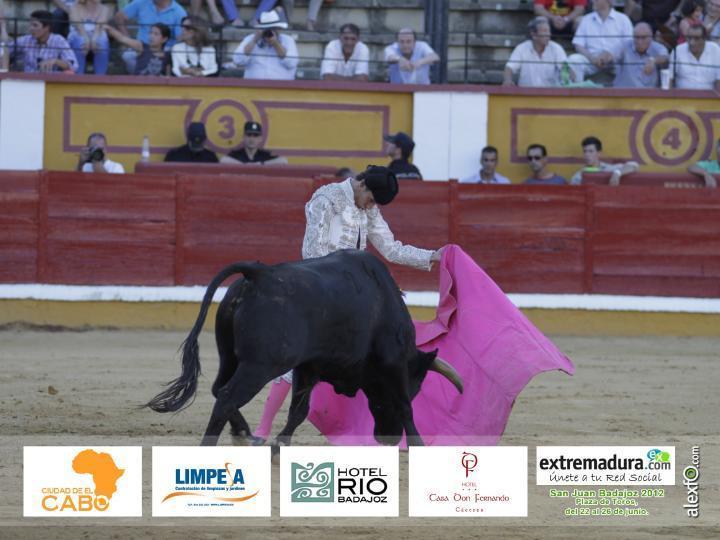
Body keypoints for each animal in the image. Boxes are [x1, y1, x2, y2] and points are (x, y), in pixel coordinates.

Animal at [148, 249, 462, 448]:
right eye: (417, 386)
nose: (389, 437)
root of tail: (258, 274)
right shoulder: (393, 363)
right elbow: (404, 405)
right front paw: (419, 444)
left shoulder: (309, 366)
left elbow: (299, 409)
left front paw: (279, 445)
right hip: (260, 365)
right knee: (227, 396)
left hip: (229, 356)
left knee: (218, 389)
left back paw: (243, 432)